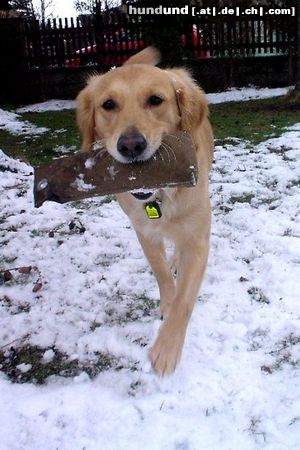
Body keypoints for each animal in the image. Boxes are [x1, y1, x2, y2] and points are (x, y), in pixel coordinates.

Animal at [76, 46, 214, 376]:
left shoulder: (198, 238)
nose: (130, 145)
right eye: (108, 105)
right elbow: (161, 273)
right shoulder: (144, 231)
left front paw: (166, 350)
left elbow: (185, 300)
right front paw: (167, 302)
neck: (161, 196)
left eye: (156, 100)